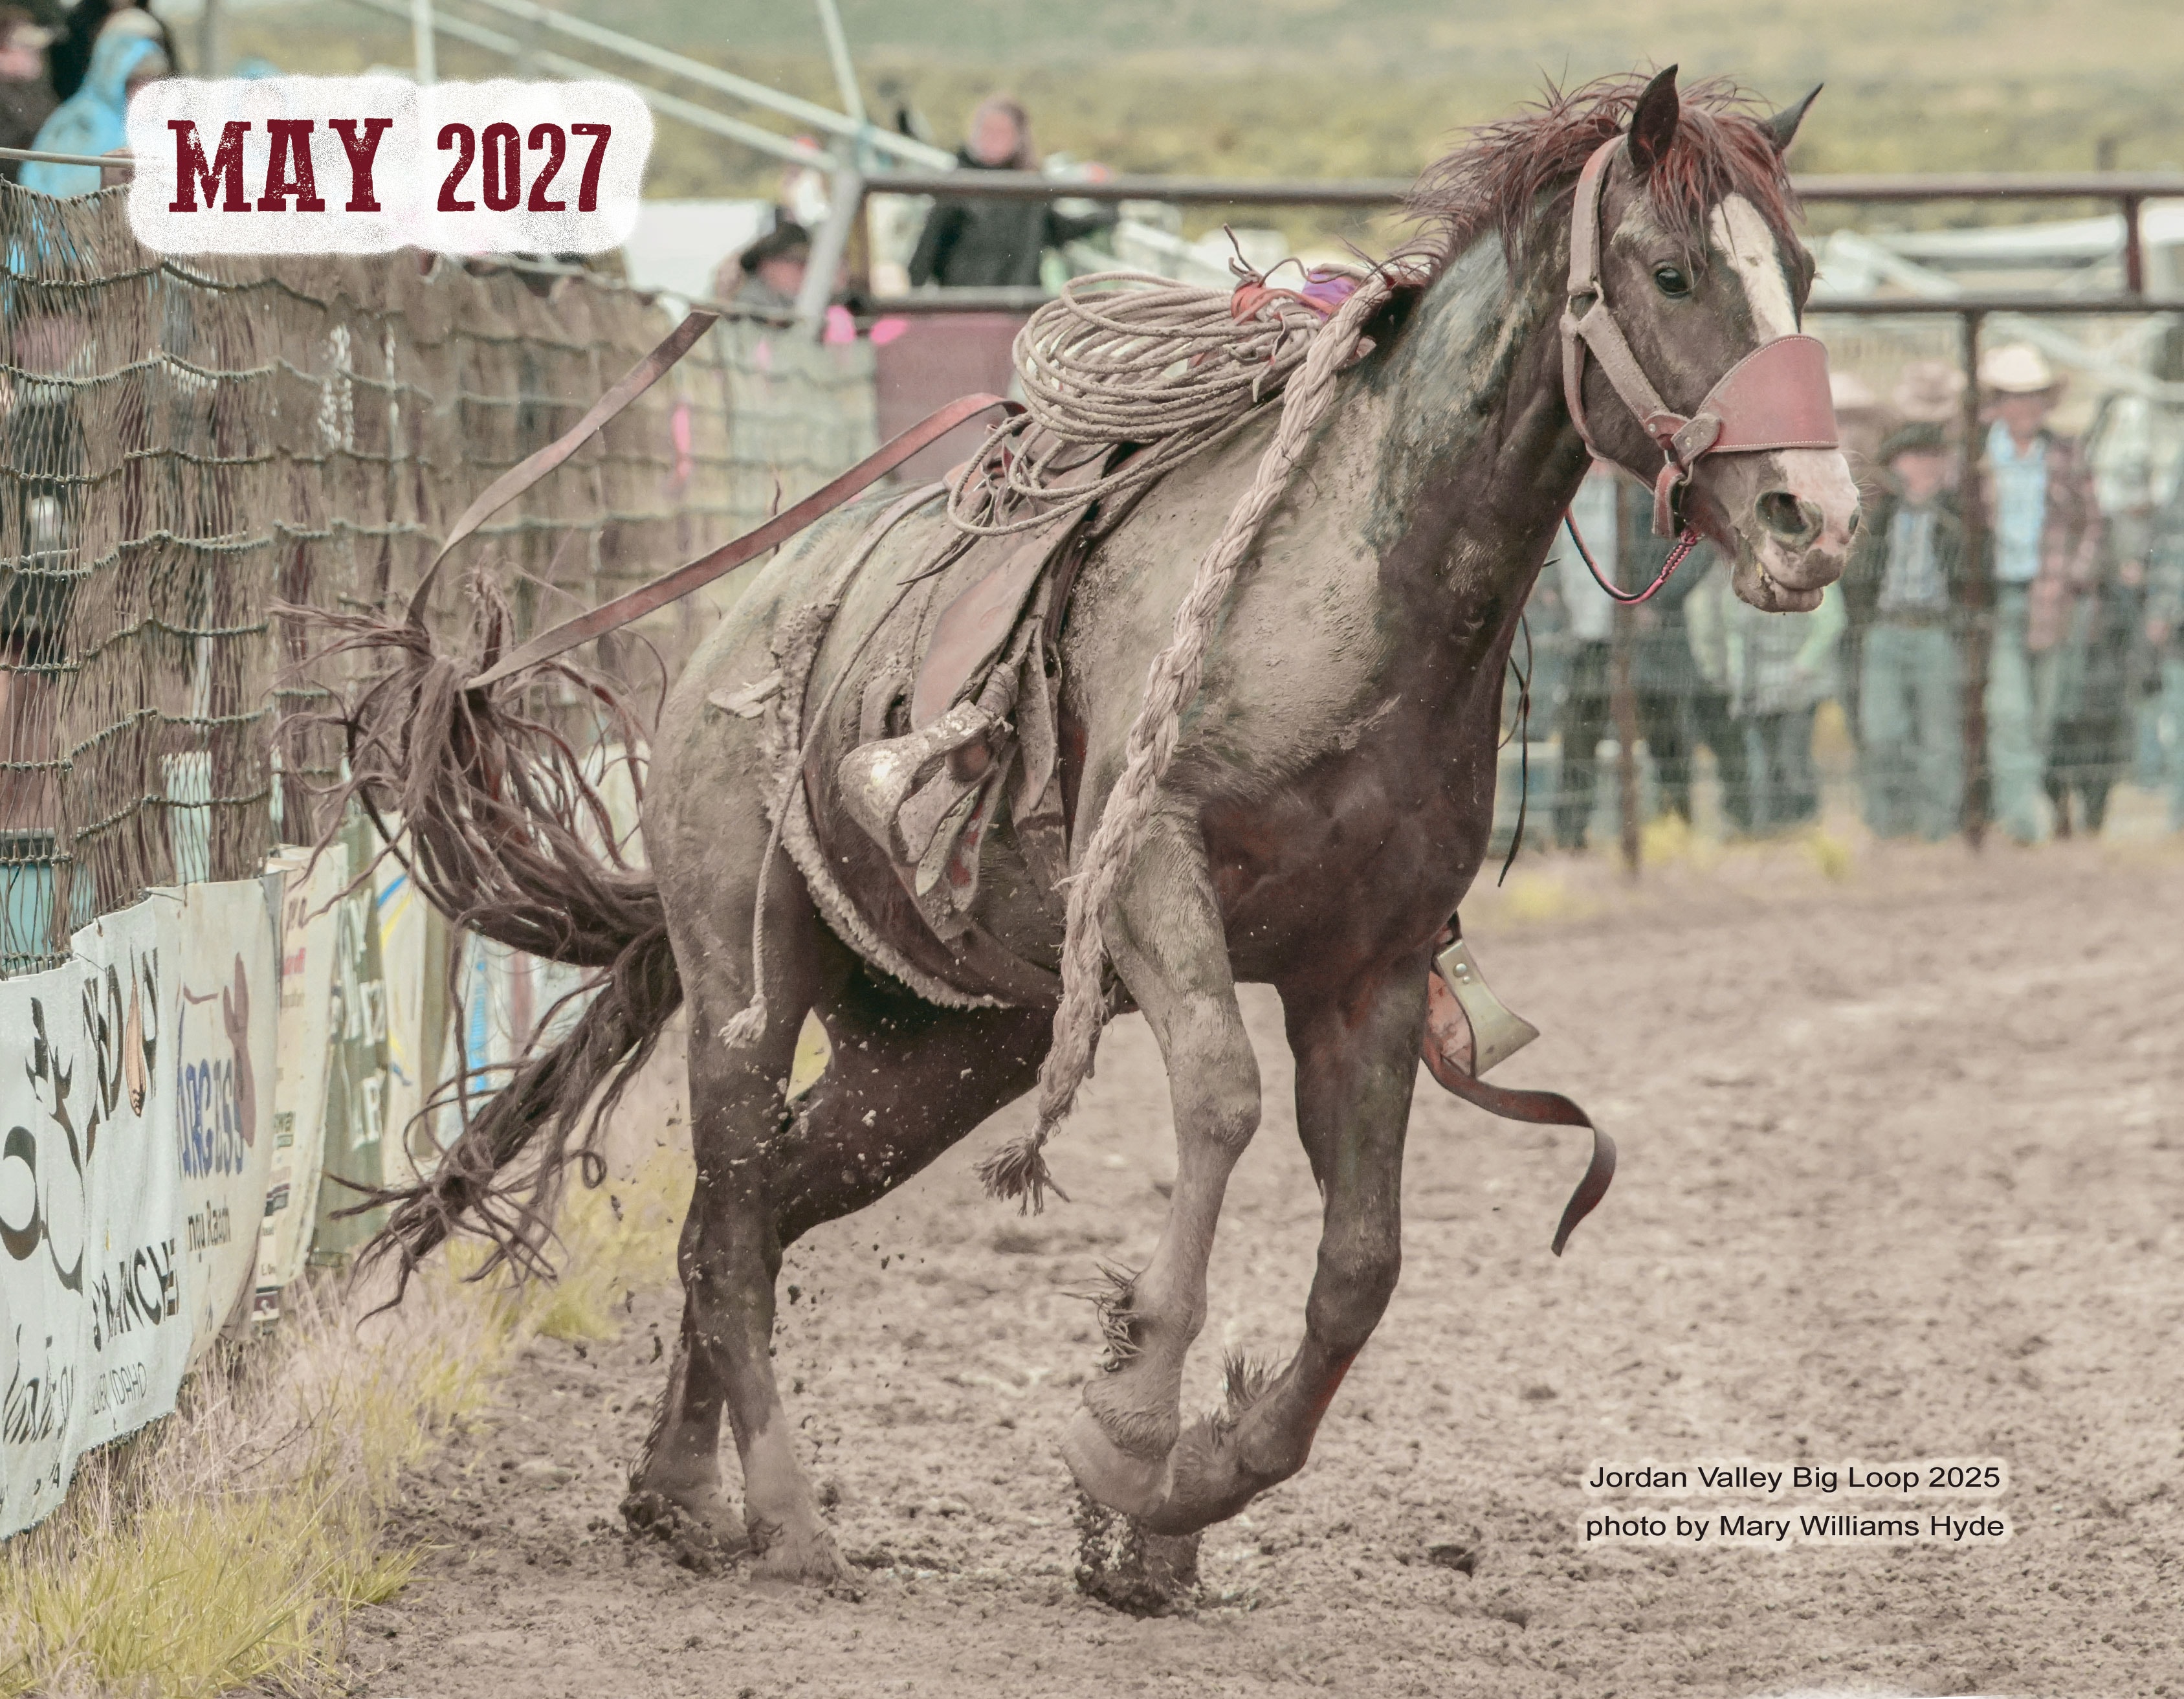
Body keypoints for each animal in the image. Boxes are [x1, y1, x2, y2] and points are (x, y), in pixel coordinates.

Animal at [331, 67, 1859, 1600]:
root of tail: (736, 624)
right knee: (729, 1221)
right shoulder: (1154, 883)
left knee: (756, 1210)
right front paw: (1127, 1439)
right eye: (1671, 272)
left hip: (954, 1049)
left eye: (1798, 273)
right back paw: (787, 1516)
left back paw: (674, 1491)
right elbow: (1223, 1103)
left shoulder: (1366, 968)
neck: (1347, 585)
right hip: (744, 982)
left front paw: (1190, 1492)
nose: (1818, 520)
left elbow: (1362, 1263)